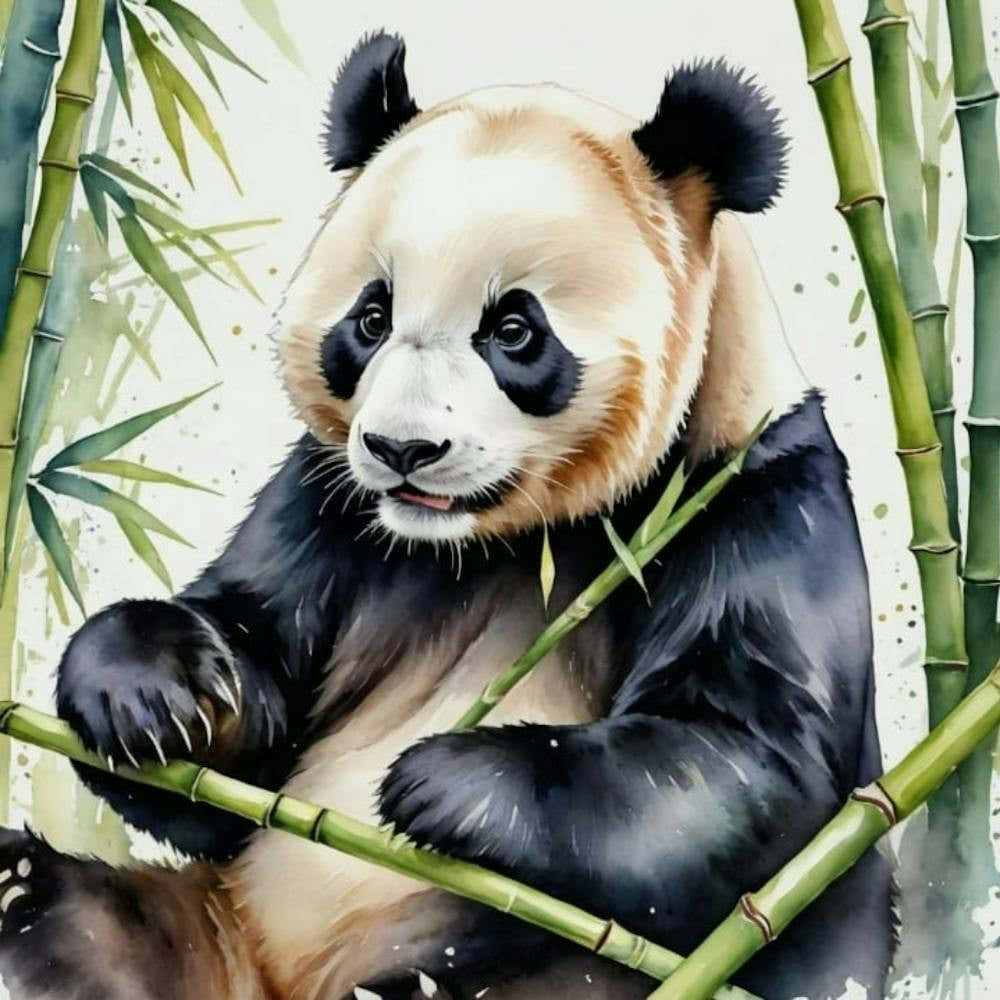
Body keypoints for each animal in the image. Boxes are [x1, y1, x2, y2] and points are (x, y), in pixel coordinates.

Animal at [0, 31, 893, 1000]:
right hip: (209, 929)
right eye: (371, 317)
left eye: (514, 331)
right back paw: (26, 888)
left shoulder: (752, 500)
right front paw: (160, 694)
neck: (496, 540)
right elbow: (254, 659)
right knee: (87, 922)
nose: (402, 449)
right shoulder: (328, 501)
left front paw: (447, 782)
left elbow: (748, 763)